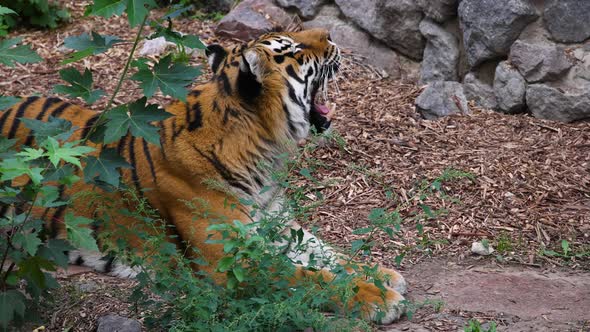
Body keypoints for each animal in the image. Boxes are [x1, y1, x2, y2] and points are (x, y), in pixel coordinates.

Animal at [0, 28, 408, 324]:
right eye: (292, 48)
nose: (332, 36)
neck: (263, 156)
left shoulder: (275, 226)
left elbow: (327, 253)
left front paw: (381, 274)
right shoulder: (230, 263)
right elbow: (304, 277)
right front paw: (379, 297)